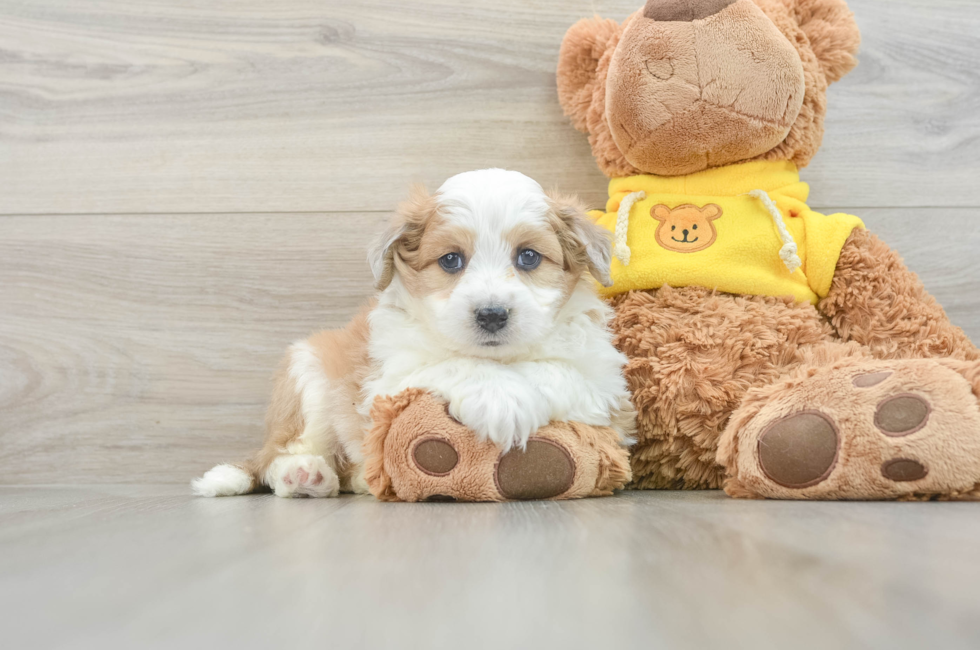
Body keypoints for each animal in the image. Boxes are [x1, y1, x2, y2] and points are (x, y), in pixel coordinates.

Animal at [193, 167, 636, 496]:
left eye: (528, 257)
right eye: (451, 260)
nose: (492, 315)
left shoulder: (605, 386)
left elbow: (559, 370)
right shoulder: (385, 380)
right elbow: (449, 363)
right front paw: (500, 399)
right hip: (309, 375)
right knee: (277, 455)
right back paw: (304, 474)